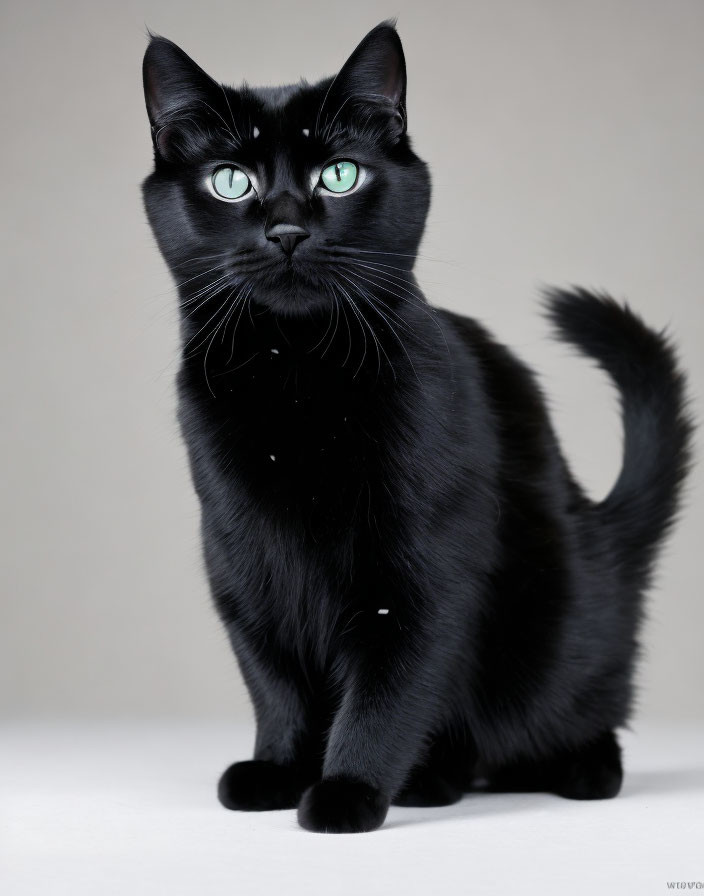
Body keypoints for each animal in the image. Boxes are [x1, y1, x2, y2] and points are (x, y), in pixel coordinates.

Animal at [140, 21, 692, 832]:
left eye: (339, 176)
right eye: (230, 180)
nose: (286, 230)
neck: (296, 378)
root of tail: (603, 538)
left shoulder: (420, 568)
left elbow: (389, 686)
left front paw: (348, 790)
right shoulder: (242, 566)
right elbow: (273, 679)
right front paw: (279, 770)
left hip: (556, 630)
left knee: (583, 713)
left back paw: (565, 768)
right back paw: (435, 778)